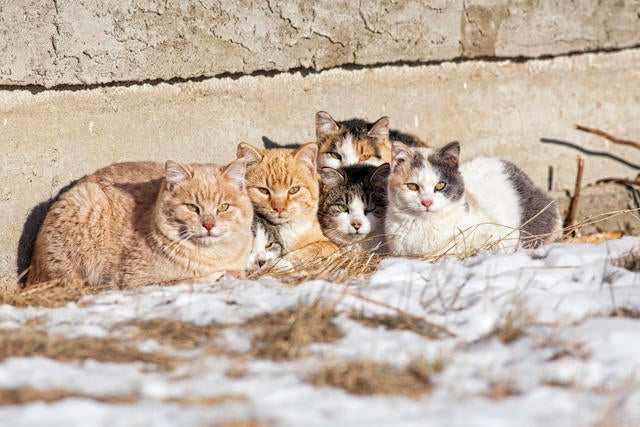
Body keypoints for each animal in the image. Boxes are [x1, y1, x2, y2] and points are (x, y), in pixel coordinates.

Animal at [26, 157, 252, 288]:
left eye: (223, 207)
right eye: (191, 207)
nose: (209, 225)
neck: (214, 256)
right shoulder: (133, 282)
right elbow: (182, 281)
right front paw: (216, 276)